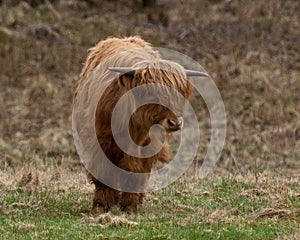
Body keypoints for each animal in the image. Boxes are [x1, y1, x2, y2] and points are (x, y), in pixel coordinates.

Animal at [74, 36, 207, 213]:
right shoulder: (101, 143)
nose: (175, 122)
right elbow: (104, 173)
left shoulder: (148, 148)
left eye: (179, 94)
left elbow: (136, 173)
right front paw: (101, 206)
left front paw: (130, 206)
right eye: (150, 93)